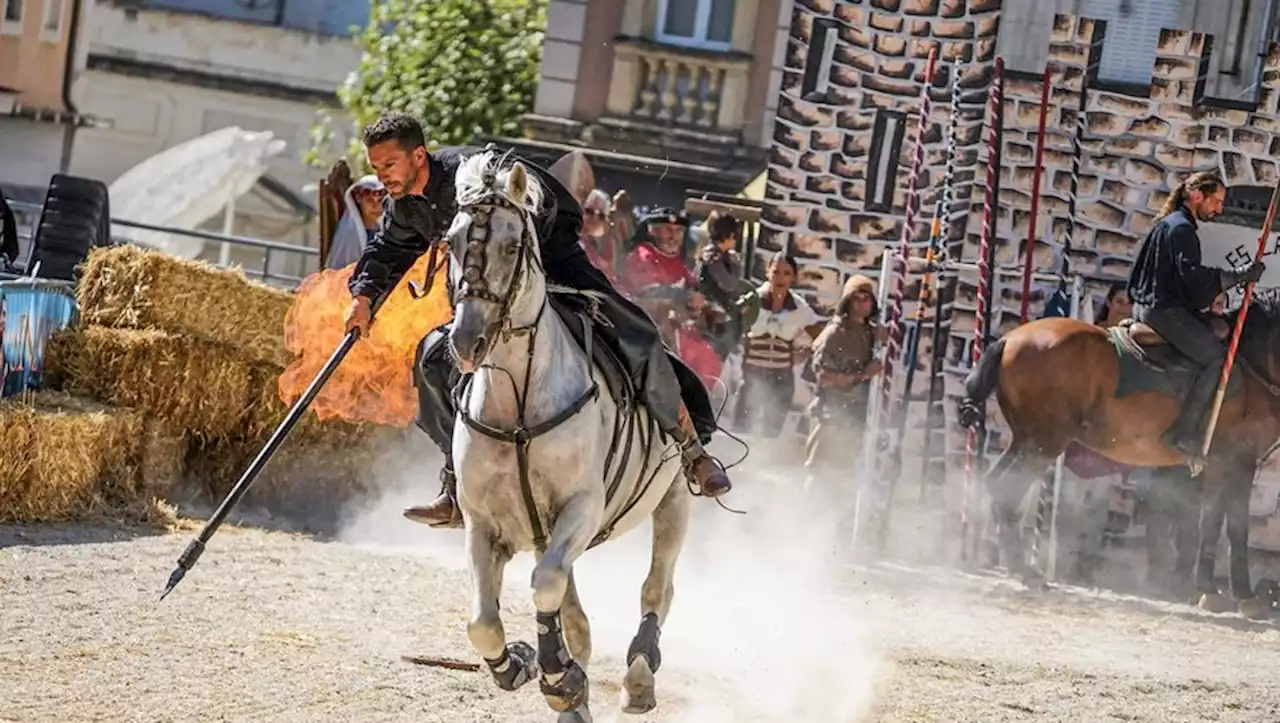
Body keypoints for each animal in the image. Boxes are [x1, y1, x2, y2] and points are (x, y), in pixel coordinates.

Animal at [445, 152, 696, 721]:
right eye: (451, 242)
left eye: (511, 245)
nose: (467, 340)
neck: (518, 403)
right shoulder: (482, 522)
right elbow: (483, 622)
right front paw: (525, 665)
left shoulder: (582, 506)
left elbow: (546, 587)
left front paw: (559, 676)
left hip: (673, 500)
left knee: (658, 589)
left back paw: (639, 678)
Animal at [962, 299, 1280, 580]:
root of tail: (1009, 339)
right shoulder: (1236, 460)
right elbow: (1229, 526)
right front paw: (1228, 593)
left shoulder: (1225, 464)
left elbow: (1214, 524)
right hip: (1045, 442)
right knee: (1007, 488)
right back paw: (1023, 569)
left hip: (1025, 439)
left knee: (996, 484)